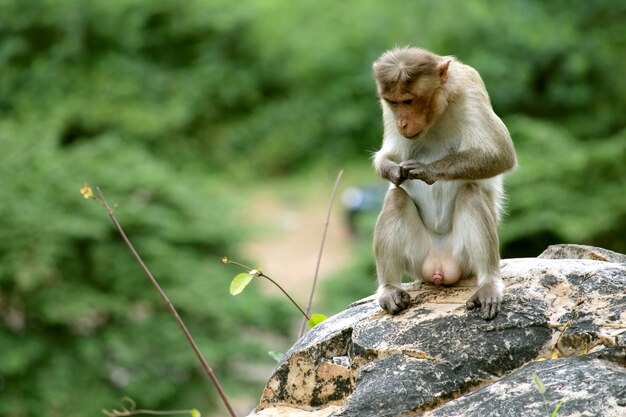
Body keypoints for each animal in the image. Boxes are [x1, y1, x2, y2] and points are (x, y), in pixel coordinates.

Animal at [370, 47, 512, 318]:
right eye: (393, 102)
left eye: (408, 101)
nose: (401, 123)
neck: (437, 114)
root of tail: (439, 266)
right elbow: (388, 156)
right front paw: (393, 171)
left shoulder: (470, 86)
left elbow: (500, 155)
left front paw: (427, 170)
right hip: (417, 259)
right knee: (396, 198)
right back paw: (390, 288)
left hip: (463, 259)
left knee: (470, 193)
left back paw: (488, 284)